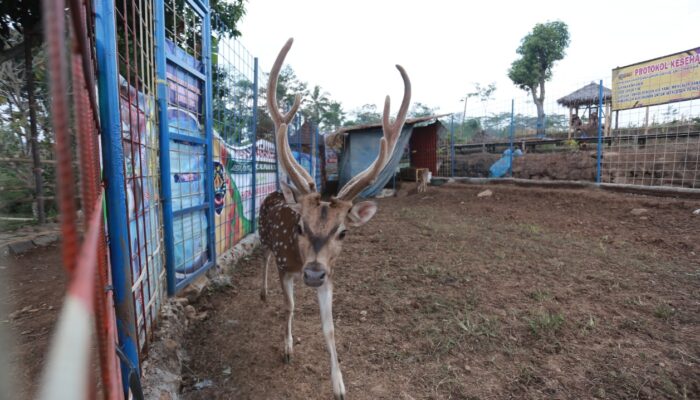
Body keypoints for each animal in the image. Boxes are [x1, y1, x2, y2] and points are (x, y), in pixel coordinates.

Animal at [258, 38, 410, 400]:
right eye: (299, 226)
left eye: (343, 232)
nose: (313, 273)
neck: (299, 260)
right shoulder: (286, 265)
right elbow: (290, 307)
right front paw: (287, 349)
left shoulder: (331, 276)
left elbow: (329, 329)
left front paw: (339, 384)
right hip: (263, 238)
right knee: (265, 257)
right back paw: (264, 292)